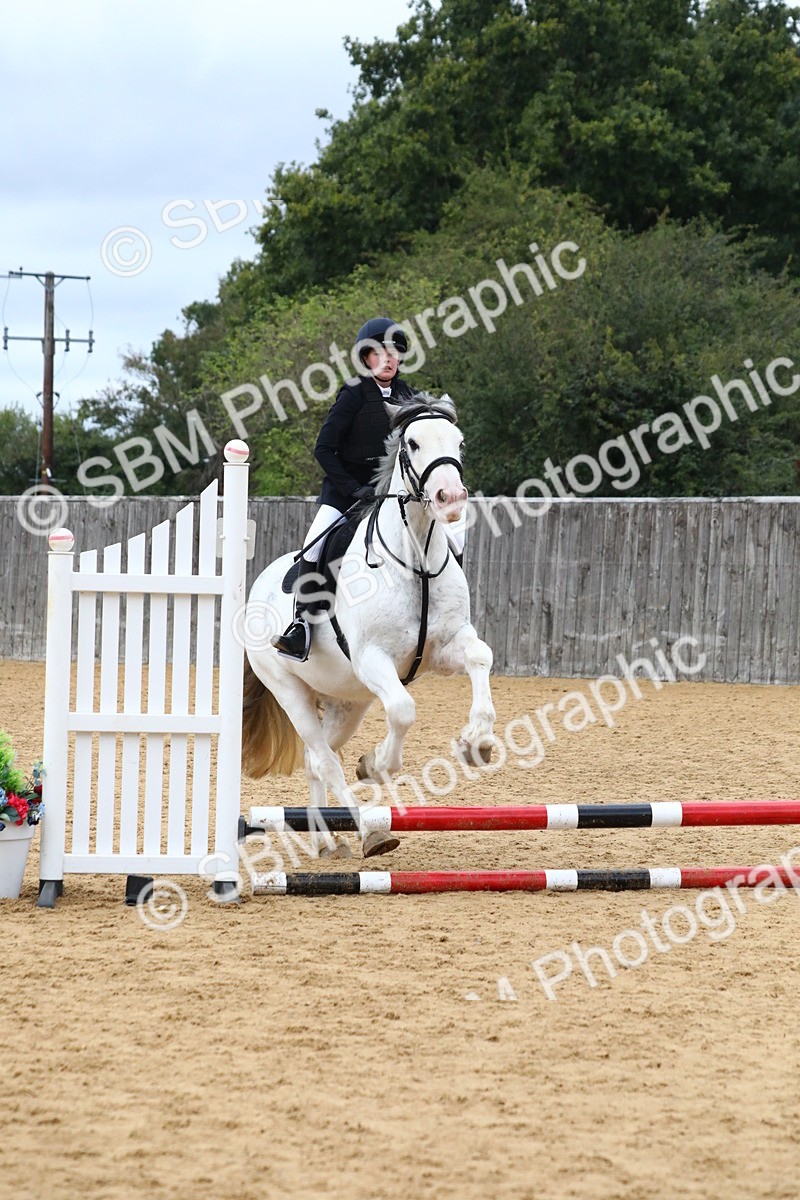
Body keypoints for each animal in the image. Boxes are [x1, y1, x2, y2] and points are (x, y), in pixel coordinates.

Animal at [240, 393, 496, 856]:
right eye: (412, 443)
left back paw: (325, 840)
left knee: (316, 759)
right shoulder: (373, 660)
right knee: (325, 760)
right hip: (290, 691)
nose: (451, 498)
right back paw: (370, 833)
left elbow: (479, 657)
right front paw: (375, 764)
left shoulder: (445, 647)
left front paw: (476, 742)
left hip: (348, 703)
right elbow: (402, 710)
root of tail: (257, 588)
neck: (415, 560)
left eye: (458, 441)